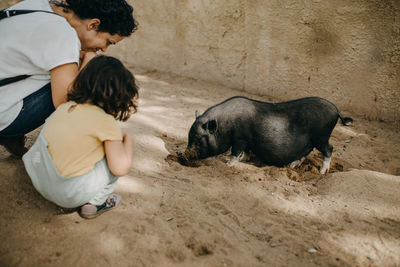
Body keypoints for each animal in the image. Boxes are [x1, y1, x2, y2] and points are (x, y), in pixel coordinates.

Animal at [181, 96, 354, 174]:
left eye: (199, 139)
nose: (183, 155)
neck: (226, 125)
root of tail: (336, 110)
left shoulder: (240, 138)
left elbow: (235, 151)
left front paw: (229, 164)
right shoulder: (247, 141)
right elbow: (246, 151)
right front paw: (246, 159)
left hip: (321, 136)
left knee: (329, 149)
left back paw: (321, 172)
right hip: (313, 140)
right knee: (307, 151)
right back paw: (291, 166)